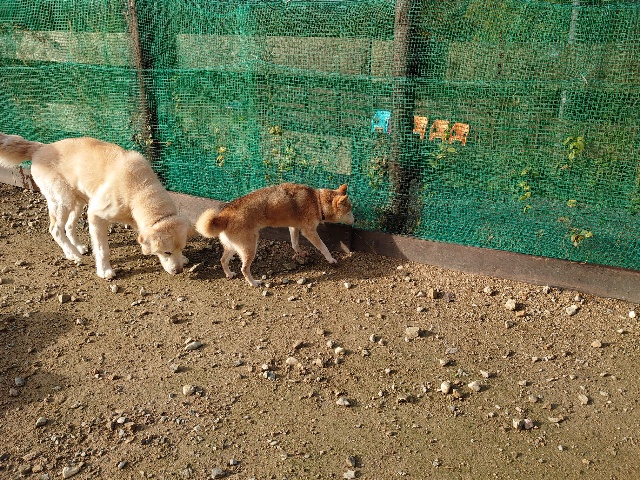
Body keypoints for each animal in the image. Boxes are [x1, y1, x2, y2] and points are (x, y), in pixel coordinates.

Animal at [0, 133, 192, 279]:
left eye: (181, 248)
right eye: (166, 252)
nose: (178, 271)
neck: (140, 190)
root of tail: (40, 147)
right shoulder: (96, 215)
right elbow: (102, 249)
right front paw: (105, 271)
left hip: (78, 202)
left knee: (68, 226)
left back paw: (77, 247)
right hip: (63, 201)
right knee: (55, 229)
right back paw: (73, 254)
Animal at [195, 183, 354, 287]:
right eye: (349, 212)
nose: (355, 220)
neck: (318, 201)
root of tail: (222, 217)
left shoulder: (294, 227)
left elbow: (294, 243)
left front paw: (300, 253)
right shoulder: (309, 231)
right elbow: (323, 247)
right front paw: (331, 259)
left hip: (234, 246)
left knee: (223, 260)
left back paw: (229, 274)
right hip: (250, 246)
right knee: (244, 268)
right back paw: (254, 283)